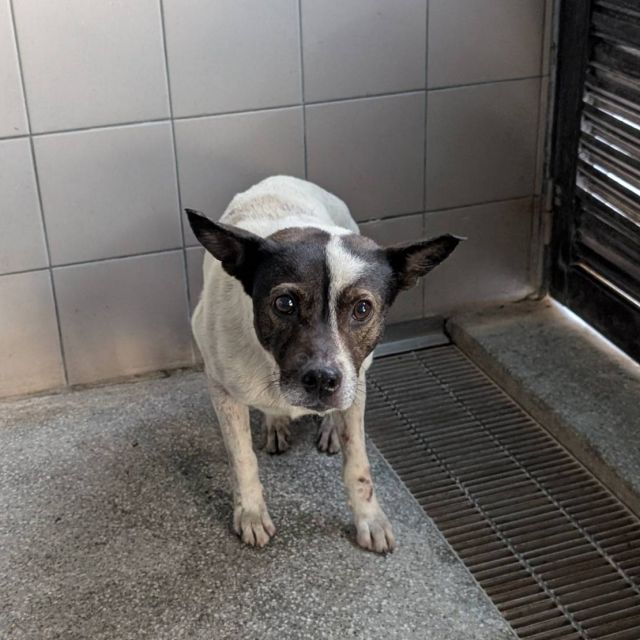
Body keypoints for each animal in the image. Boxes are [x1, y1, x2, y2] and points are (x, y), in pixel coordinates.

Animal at [186, 176, 460, 553]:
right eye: (284, 303)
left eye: (362, 308)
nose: (321, 380)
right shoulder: (221, 389)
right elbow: (242, 459)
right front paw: (251, 513)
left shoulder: (355, 381)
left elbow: (358, 464)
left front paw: (369, 519)